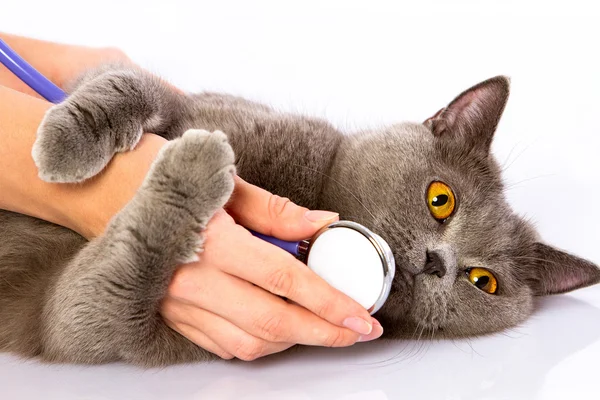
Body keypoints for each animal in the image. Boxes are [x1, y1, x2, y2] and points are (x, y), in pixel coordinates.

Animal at [0, 64, 596, 368]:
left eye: (482, 281)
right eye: (440, 199)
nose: (435, 262)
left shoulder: (79, 320)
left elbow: (116, 281)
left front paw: (196, 163)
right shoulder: (191, 103)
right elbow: (127, 81)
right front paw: (65, 144)